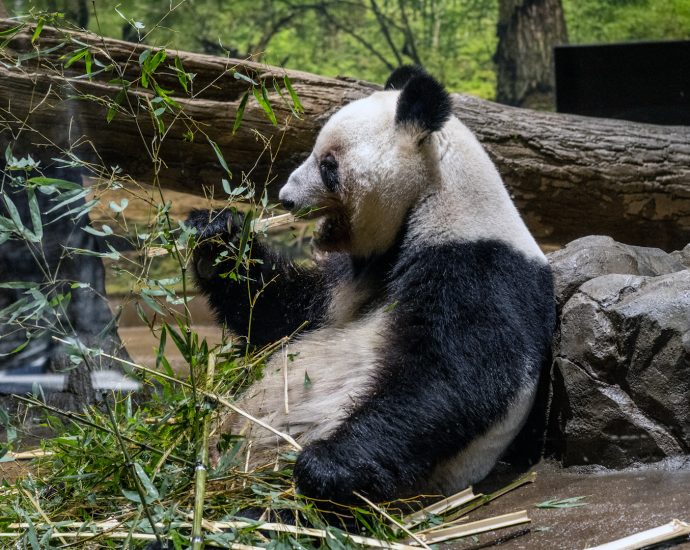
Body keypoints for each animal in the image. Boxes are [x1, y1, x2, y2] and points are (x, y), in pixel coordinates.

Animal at [187, 66, 556, 503]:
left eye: (328, 164)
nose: (286, 198)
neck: (431, 199)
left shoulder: (478, 267)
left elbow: (458, 376)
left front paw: (324, 465)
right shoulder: (351, 277)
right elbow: (283, 315)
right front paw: (216, 236)